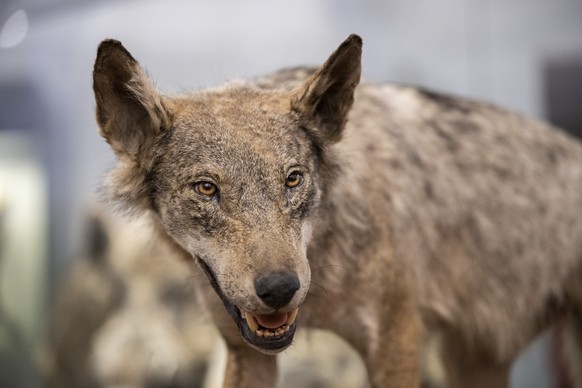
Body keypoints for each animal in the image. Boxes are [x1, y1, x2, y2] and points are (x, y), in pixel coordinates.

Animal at [92, 34, 582, 386]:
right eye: (206, 189)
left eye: (293, 179)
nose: (279, 289)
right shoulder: (246, 353)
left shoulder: (397, 343)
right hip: (471, 360)